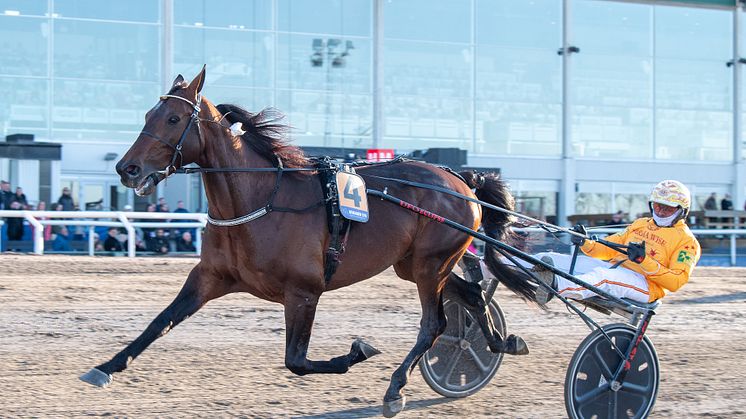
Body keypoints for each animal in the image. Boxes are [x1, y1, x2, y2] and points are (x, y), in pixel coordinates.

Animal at [80, 68, 536, 416]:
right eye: (148, 113)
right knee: (472, 295)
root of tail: (461, 178)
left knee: (435, 323)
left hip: (431, 264)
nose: (126, 168)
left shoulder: (304, 291)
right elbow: (160, 322)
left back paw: (395, 388)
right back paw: (500, 342)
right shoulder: (209, 277)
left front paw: (358, 351)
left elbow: (296, 361)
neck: (261, 199)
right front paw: (105, 367)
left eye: (173, 119)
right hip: (414, 264)